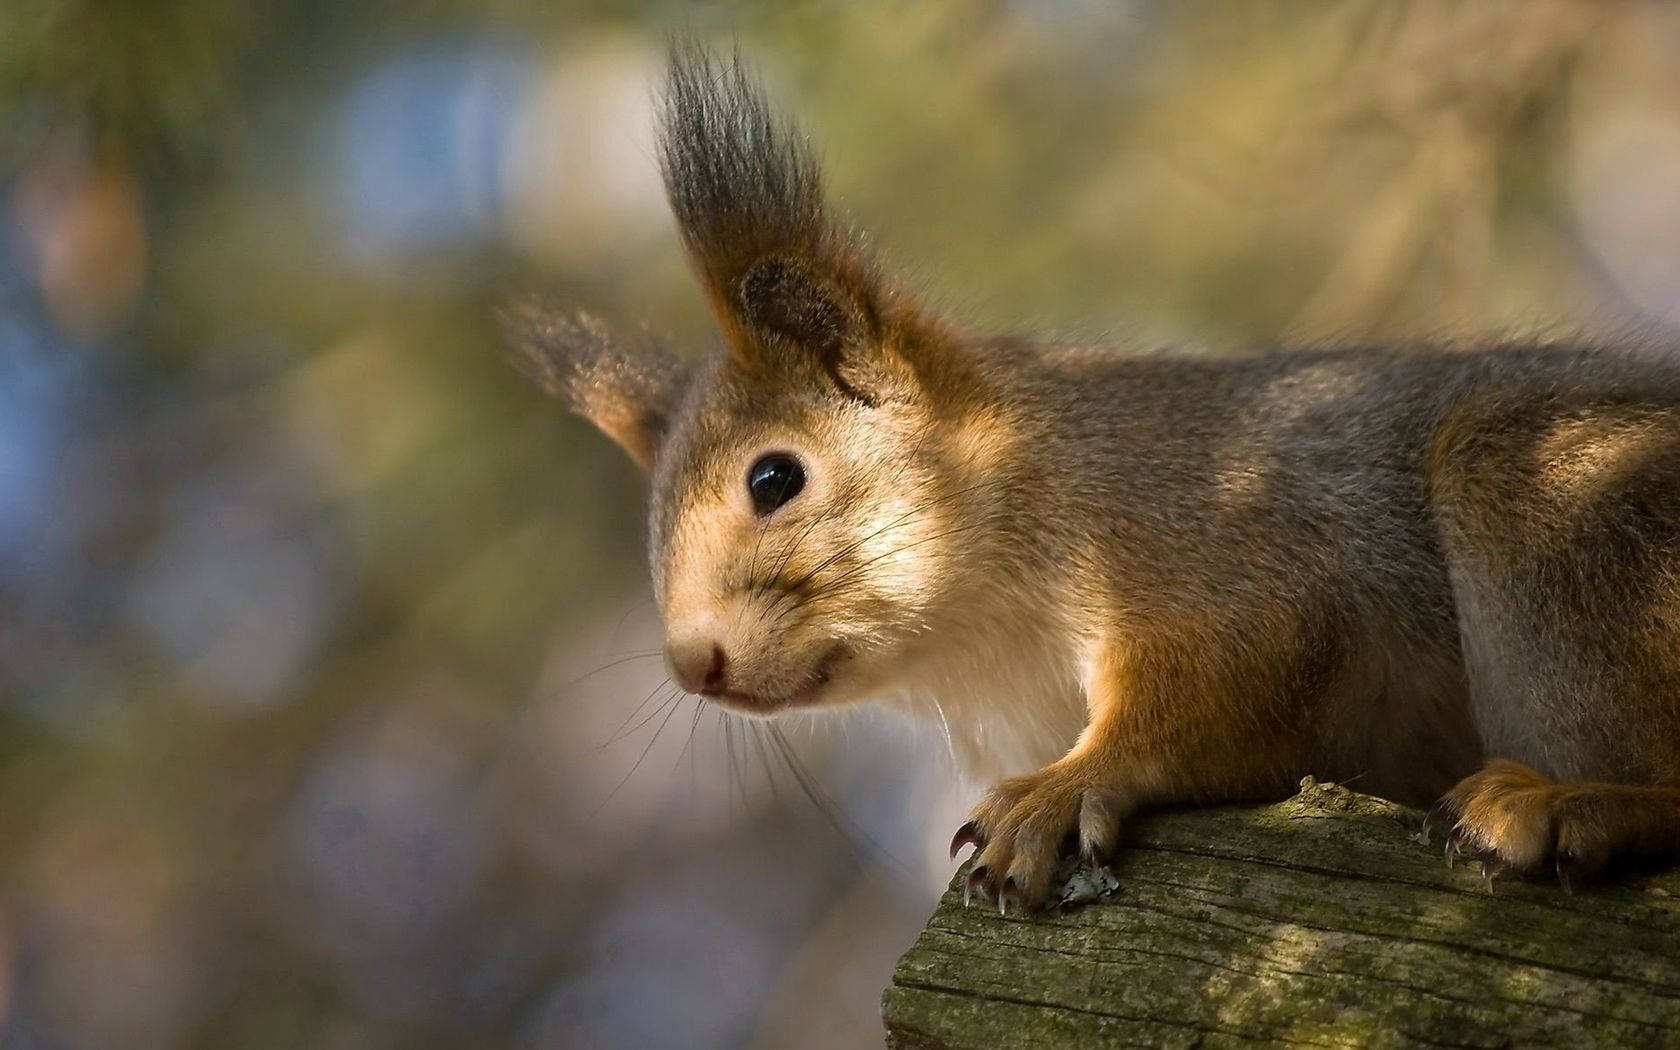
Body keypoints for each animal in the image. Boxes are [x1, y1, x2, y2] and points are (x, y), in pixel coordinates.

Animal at [504, 45, 1680, 912]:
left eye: (774, 479)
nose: (691, 663)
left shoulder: (1209, 532)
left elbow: (1238, 672)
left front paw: (1066, 788)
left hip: (1553, 497)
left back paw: (1574, 805)